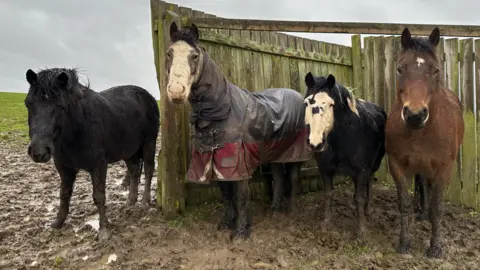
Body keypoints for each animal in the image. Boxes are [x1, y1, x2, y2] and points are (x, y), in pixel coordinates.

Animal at [24, 67, 159, 243]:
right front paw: (57, 223)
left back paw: (144, 201)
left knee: (148, 169)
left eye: (60, 106)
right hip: (129, 150)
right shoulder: (64, 168)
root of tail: (149, 96)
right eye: (28, 104)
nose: (38, 151)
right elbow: (64, 194)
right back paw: (130, 201)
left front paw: (104, 230)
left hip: (149, 142)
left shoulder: (99, 166)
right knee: (135, 170)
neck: (77, 129)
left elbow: (99, 196)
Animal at [167, 22, 312, 239]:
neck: (222, 108)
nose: (176, 92)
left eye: (194, 55)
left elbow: (240, 195)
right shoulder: (216, 159)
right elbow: (226, 194)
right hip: (275, 152)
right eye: (169, 53)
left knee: (293, 177)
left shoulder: (238, 161)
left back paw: (291, 211)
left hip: (295, 153)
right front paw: (228, 223)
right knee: (278, 176)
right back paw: (274, 210)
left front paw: (241, 233)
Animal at [304, 72, 386, 236]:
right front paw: (326, 223)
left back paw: (368, 210)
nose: (316, 143)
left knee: (369, 183)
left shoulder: (362, 169)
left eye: (331, 104)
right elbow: (328, 194)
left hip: (375, 163)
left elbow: (360, 197)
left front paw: (362, 229)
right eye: (306, 104)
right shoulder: (325, 169)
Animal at [384, 26, 464, 258]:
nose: (415, 115)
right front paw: (404, 243)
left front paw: (435, 247)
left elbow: (437, 207)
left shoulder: (444, 168)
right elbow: (404, 204)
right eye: (400, 69)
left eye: (435, 70)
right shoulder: (396, 165)